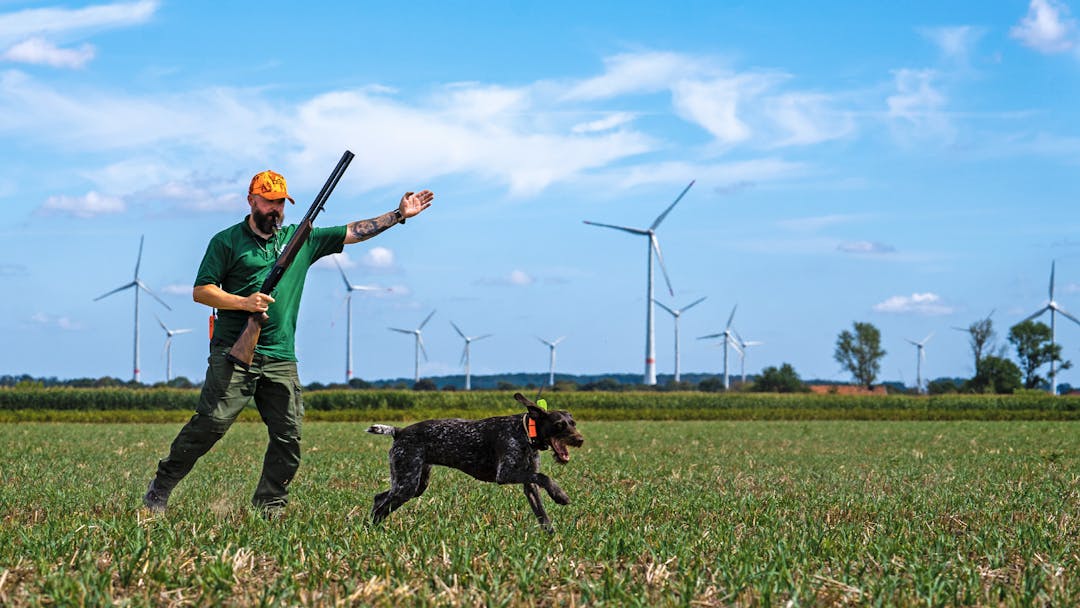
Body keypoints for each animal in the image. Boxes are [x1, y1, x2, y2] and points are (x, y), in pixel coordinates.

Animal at [365, 393, 587, 531]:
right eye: (559, 425)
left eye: (573, 423)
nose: (580, 440)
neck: (525, 432)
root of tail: (399, 431)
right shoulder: (505, 474)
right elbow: (544, 477)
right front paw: (560, 495)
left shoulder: (529, 485)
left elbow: (542, 515)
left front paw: (552, 540)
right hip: (407, 483)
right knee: (382, 506)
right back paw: (370, 532)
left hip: (415, 483)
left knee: (379, 498)